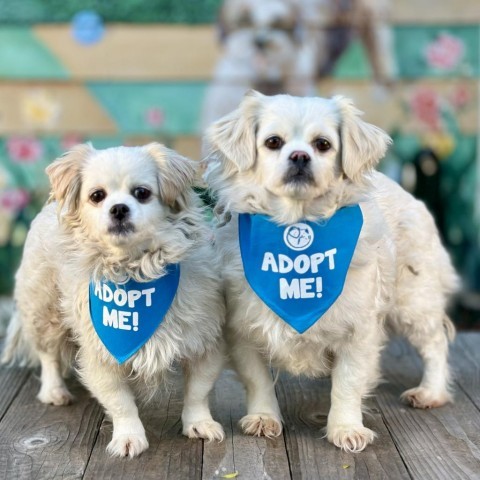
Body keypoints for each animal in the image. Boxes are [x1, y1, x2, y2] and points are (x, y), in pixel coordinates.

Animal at [0, 143, 226, 458]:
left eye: (142, 193)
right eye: (97, 196)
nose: (118, 208)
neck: (134, 270)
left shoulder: (204, 343)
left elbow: (198, 392)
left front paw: (199, 424)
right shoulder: (101, 354)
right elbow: (121, 403)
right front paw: (129, 437)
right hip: (43, 312)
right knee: (48, 356)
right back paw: (54, 391)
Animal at [202, 92, 458, 452]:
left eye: (322, 144)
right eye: (272, 142)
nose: (299, 156)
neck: (297, 222)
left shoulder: (358, 330)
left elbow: (348, 383)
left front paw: (346, 428)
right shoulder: (243, 330)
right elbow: (257, 380)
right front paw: (264, 417)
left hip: (414, 303)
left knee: (435, 344)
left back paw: (430, 393)